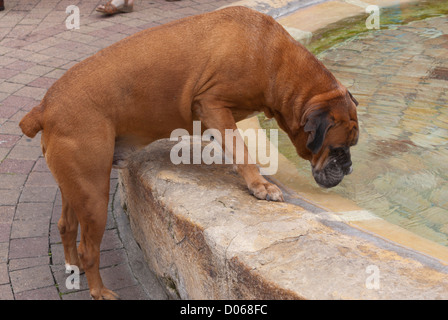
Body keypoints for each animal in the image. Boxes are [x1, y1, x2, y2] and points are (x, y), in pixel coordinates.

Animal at [19, 5, 358, 300]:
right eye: (339, 149)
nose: (350, 167)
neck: (276, 60)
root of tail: (44, 107)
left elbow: (232, 146)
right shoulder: (213, 104)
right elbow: (240, 149)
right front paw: (259, 185)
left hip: (75, 186)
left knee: (66, 226)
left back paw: (72, 266)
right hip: (93, 193)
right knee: (89, 248)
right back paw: (100, 291)